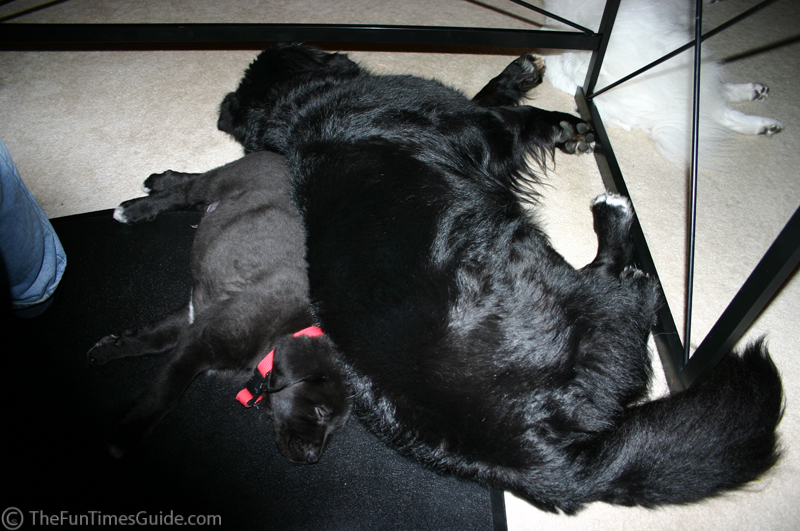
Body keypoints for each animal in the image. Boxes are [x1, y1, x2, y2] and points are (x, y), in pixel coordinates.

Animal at [86, 152, 350, 464]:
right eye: (320, 412)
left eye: (335, 426)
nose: (312, 457)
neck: (279, 335)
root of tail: (275, 154)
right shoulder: (200, 343)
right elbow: (165, 393)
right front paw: (125, 436)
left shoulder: (195, 316)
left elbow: (150, 338)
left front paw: (108, 349)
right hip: (220, 181)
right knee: (183, 193)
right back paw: (135, 209)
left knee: (190, 183)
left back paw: (162, 179)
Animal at [216, 45, 784, 516]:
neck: (301, 109)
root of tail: (544, 463)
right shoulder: (474, 124)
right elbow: (507, 110)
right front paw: (560, 117)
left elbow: (492, 96)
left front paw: (526, 79)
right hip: (576, 293)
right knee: (621, 287)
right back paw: (615, 218)